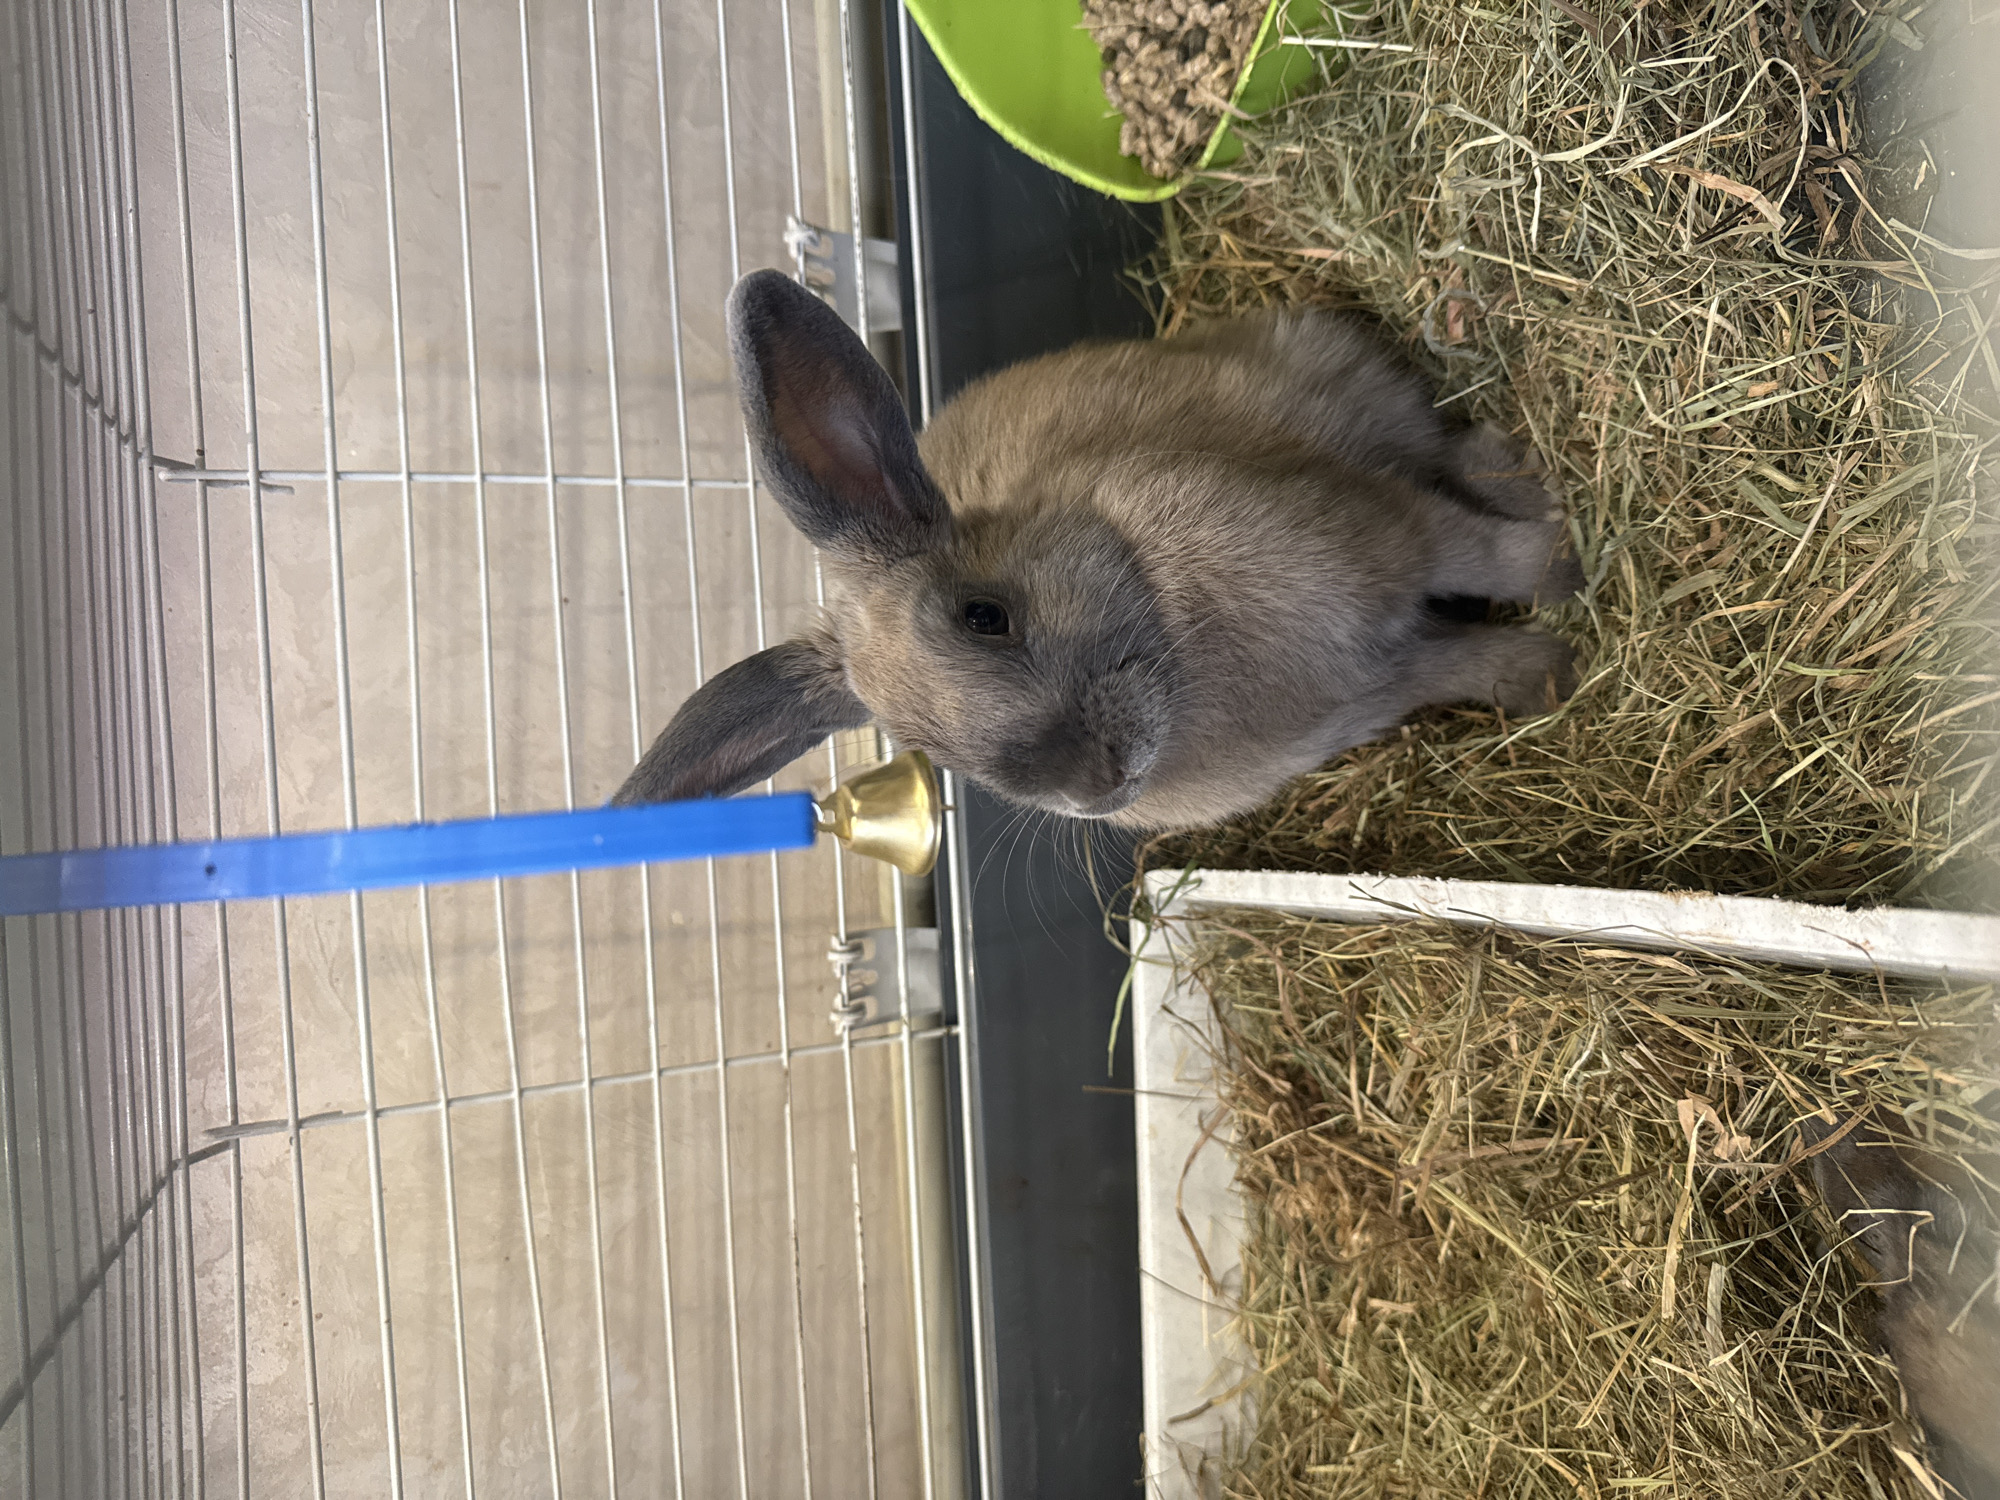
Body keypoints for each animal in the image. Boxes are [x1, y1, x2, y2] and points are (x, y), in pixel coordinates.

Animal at [612, 268, 1583, 829]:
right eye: (918, 745)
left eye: (985, 615)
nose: (1094, 784)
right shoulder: (1389, 681)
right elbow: (1468, 662)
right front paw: (1549, 678)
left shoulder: (1389, 532)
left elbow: (1484, 557)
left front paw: (1567, 570)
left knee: (1448, 458)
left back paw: (1525, 475)